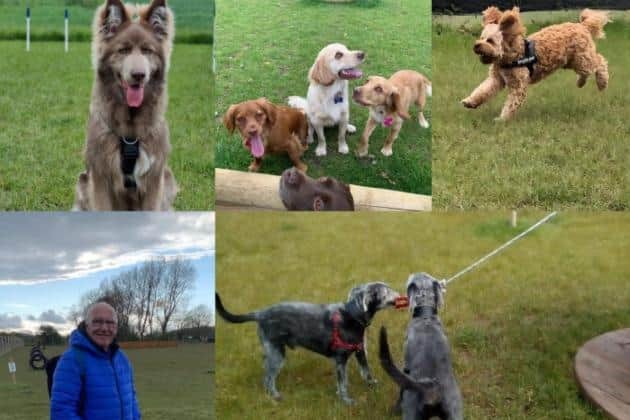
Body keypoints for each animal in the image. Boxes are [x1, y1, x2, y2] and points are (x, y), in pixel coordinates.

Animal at [464, 7, 612, 120]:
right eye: (481, 38)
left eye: (490, 41)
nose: (476, 45)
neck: (511, 56)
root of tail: (582, 26)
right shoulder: (496, 79)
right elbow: (483, 90)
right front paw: (470, 102)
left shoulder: (519, 85)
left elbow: (511, 103)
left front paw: (502, 119)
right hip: (572, 61)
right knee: (587, 70)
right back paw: (580, 82)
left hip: (582, 59)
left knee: (600, 62)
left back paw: (602, 83)